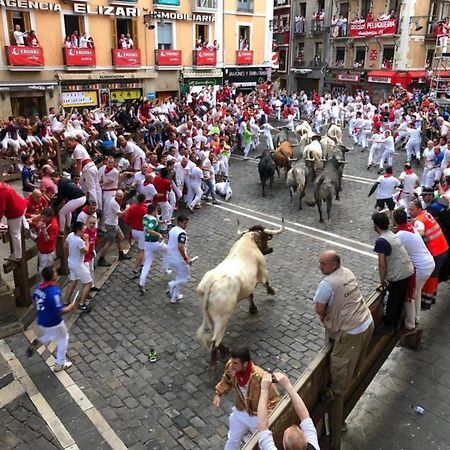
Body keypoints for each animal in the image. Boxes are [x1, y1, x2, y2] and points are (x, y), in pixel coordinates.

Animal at [194, 221, 284, 372]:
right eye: (265, 238)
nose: (270, 249)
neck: (248, 241)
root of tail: (211, 283)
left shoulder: (248, 285)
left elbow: (250, 295)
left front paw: (253, 308)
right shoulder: (262, 271)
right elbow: (266, 284)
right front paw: (271, 292)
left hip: (209, 316)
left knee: (214, 338)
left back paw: (226, 351)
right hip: (222, 318)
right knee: (214, 342)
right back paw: (214, 366)